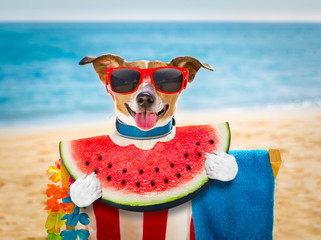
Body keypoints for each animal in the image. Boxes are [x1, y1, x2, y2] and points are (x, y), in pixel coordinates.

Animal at [69, 54, 236, 238]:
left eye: (165, 80)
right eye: (126, 81)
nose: (144, 98)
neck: (145, 139)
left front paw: (223, 165)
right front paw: (84, 188)